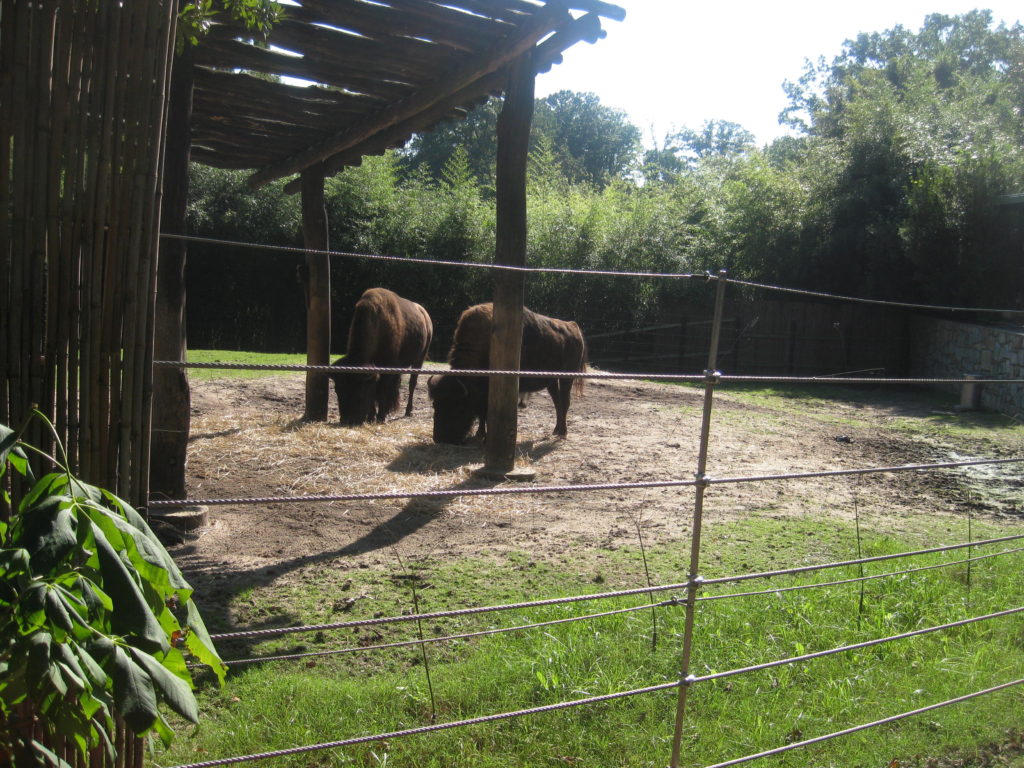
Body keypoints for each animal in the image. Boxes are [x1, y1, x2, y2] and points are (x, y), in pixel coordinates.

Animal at [331, 288, 432, 428]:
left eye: (359, 391)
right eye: (337, 390)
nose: (347, 421)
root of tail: (425, 315)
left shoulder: (387, 368)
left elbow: (382, 390)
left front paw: (380, 417)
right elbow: (376, 392)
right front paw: (371, 417)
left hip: (419, 360)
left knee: (412, 383)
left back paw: (408, 411)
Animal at [425, 303, 585, 444]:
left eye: (457, 407)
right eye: (435, 405)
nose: (440, 438)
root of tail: (573, 326)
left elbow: (486, 413)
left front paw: (485, 437)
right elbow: (482, 414)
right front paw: (480, 434)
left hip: (567, 377)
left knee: (565, 401)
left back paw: (562, 433)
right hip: (551, 381)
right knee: (557, 402)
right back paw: (556, 430)